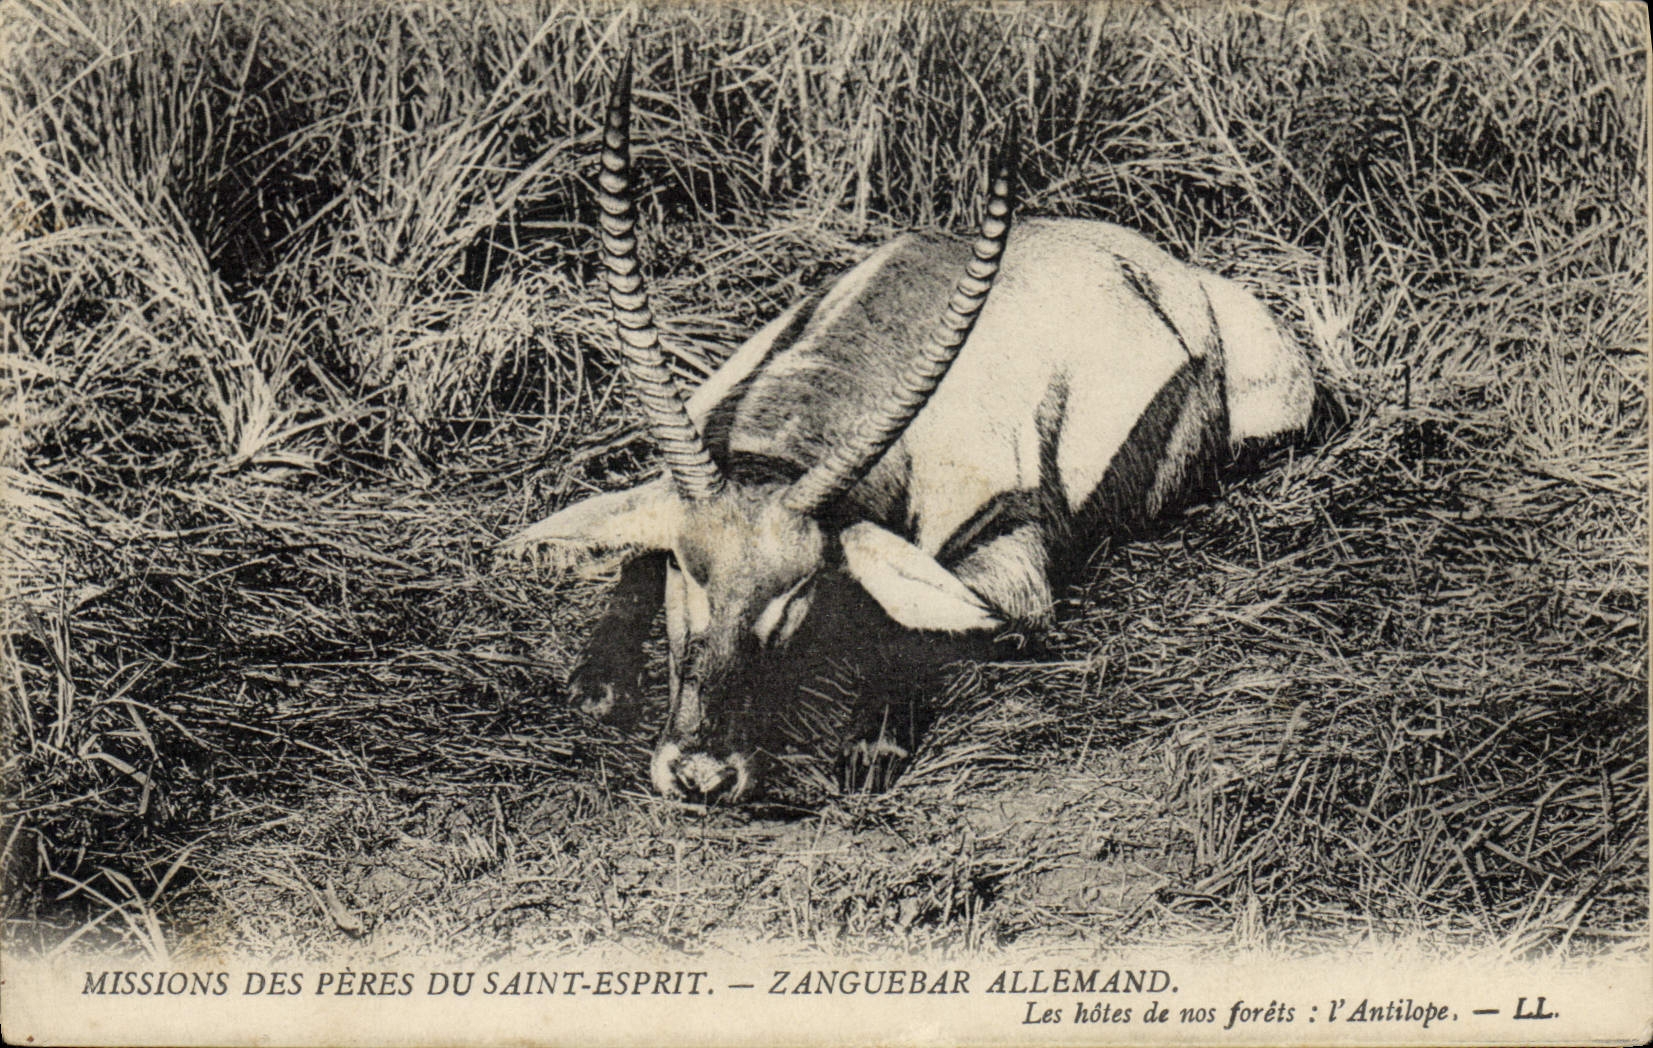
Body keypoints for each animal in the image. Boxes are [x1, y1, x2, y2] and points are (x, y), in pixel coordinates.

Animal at [504, 56, 1314, 803]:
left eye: (803, 588)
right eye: (685, 568)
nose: (701, 774)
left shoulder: (1012, 559)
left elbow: (928, 621)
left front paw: (872, 744)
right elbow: (630, 552)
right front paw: (598, 685)